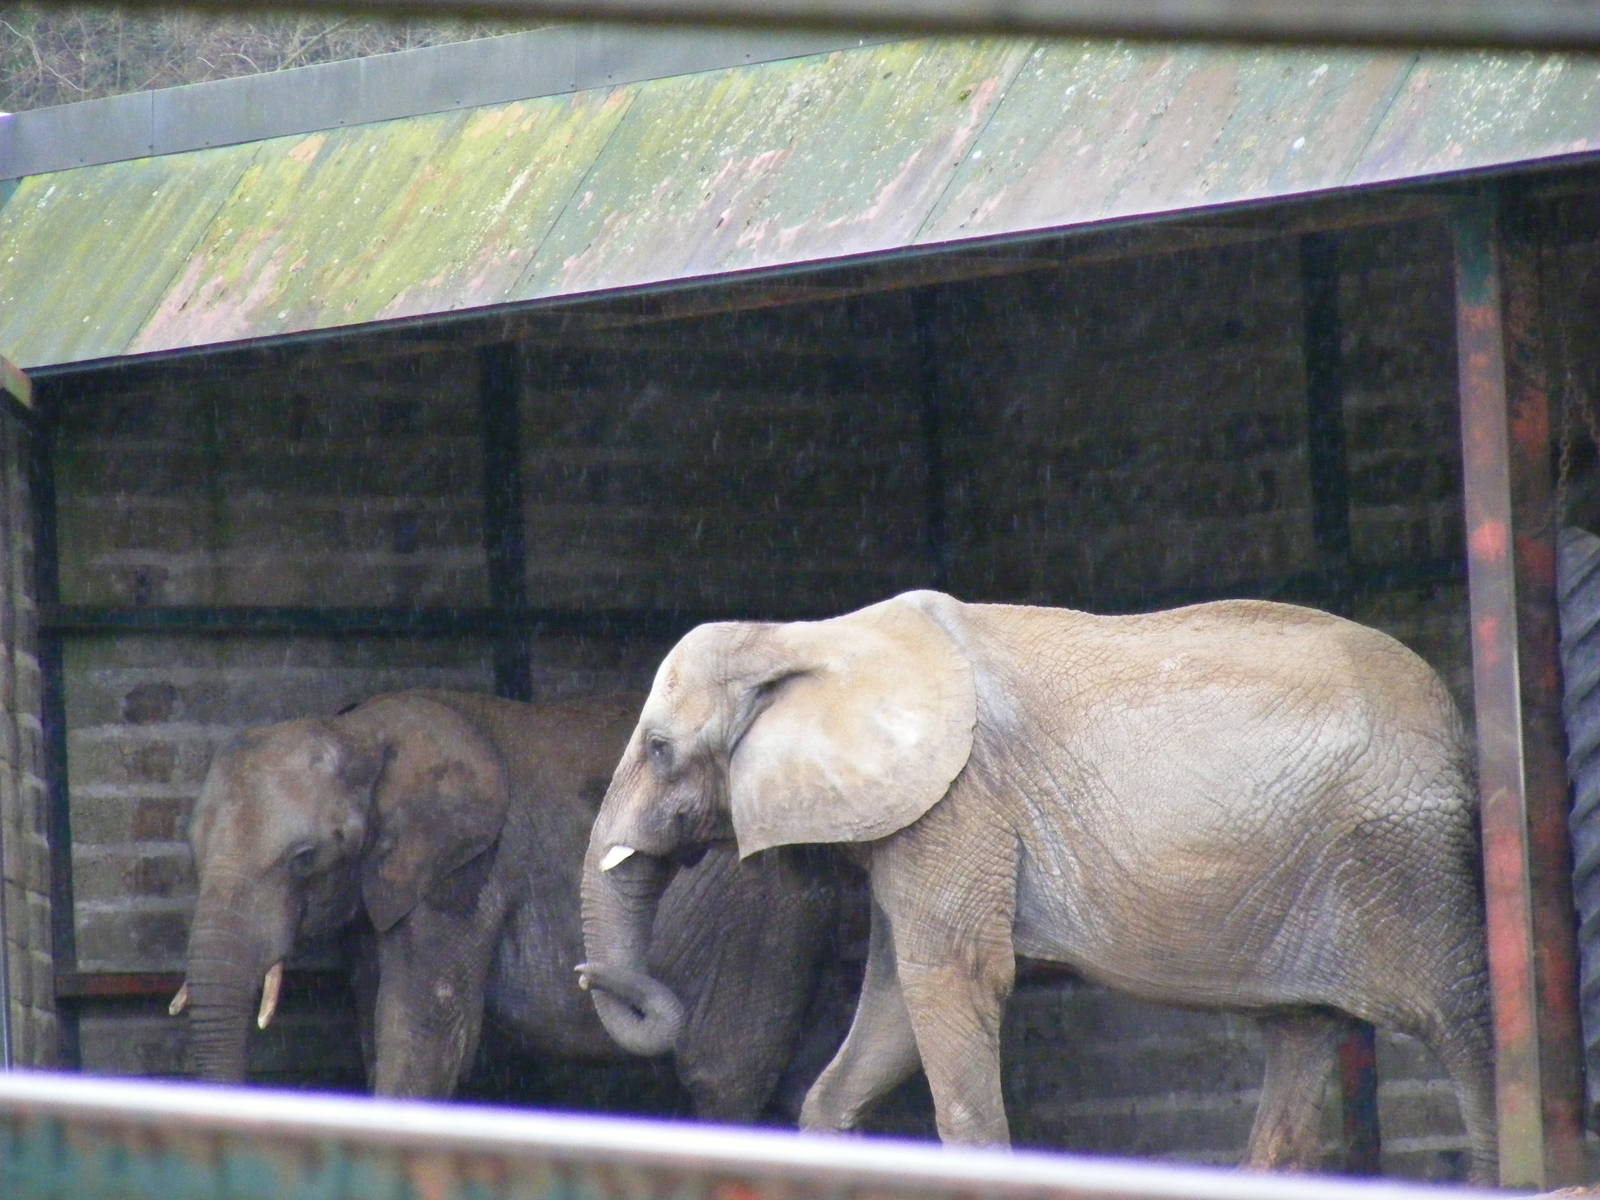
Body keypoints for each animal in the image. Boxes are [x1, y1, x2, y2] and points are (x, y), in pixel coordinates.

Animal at [176, 687, 841, 1118]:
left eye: (305, 857)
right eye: (193, 848)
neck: (364, 734)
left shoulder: (467, 872)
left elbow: (425, 1031)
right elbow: (378, 1021)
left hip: (765, 919)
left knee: (723, 1079)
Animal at [578, 589, 1496, 1181]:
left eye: (659, 749)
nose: (591, 976)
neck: (807, 637)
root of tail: (1458, 724)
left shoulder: (956, 804)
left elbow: (950, 982)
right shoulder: (921, 821)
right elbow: (892, 1007)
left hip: (1405, 857)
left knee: (1461, 1024)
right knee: (1301, 1032)